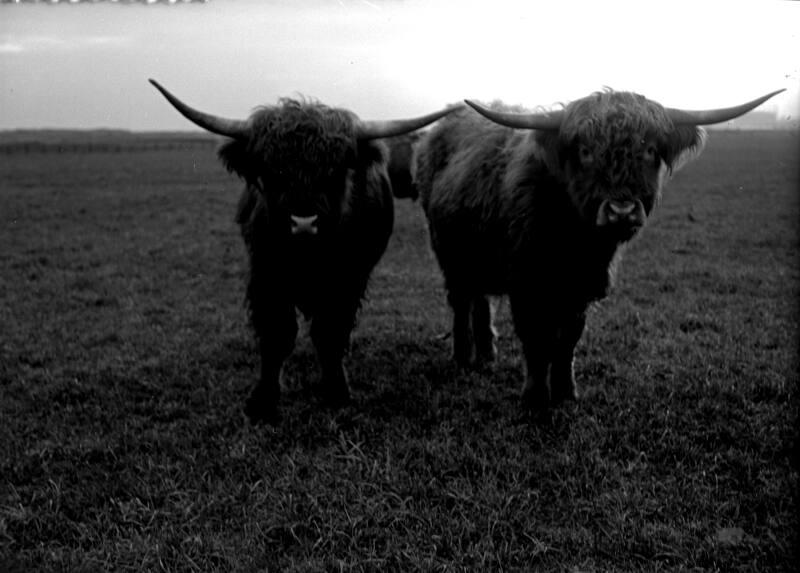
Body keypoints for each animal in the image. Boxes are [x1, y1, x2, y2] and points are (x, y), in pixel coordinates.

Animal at [149, 79, 460, 423]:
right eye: (272, 172)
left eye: (334, 171)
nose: (303, 223)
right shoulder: (266, 274)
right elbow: (277, 333)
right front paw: (263, 400)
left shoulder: (348, 279)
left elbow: (330, 332)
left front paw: (336, 391)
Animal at [415, 88, 783, 412]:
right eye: (585, 152)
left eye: (650, 151)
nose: (622, 211)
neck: (577, 242)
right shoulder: (526, 283)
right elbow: (536, 340)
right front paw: (535, 397)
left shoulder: (581, 287)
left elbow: (568, 340)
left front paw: (566, 392)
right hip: (448, 253)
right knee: (461, 301)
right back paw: (464, 358)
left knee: (480, 299)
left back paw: (487, 354)